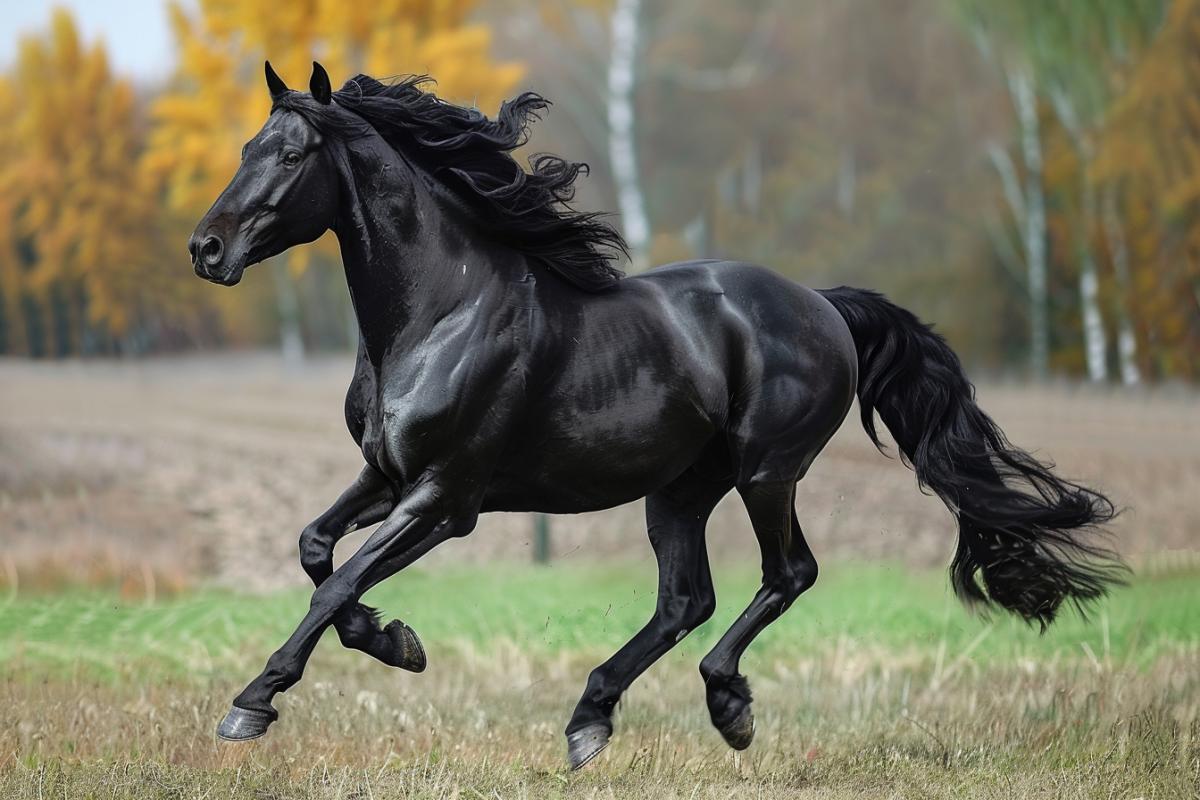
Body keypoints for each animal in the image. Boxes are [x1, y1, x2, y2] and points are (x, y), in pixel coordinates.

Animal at [188, 61, 1123, 769]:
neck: (438, 314)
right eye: (246, 145)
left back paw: (726, 705)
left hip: (765, 472)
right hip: (677, 490)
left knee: (786, 575)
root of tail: (823, 305)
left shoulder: (446, 499)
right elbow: (316, 550)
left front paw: (254, 701)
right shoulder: (386, 476)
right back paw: (591, 718)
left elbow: (339, 576)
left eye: (294, 152)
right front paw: (397, 641)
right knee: (685, 599)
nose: (205, 248)